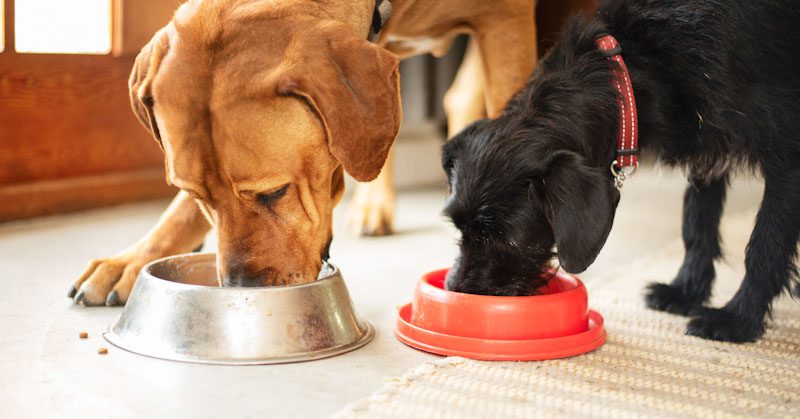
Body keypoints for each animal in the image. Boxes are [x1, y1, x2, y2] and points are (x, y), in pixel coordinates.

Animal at [444, 0, 800, 342]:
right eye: (459, 228)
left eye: (507, 238)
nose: (456, 290)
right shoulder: (707, 145)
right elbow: (697, 221)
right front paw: (686, 292)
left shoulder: (786, 153)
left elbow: (764, 245)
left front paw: (738, 319)